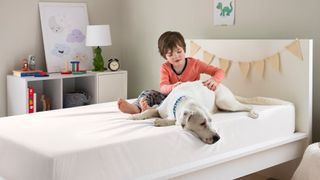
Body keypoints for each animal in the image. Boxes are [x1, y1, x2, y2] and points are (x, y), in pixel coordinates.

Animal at [130, 81, 288, 144]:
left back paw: (253, 113)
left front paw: (160, 122)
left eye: (211, 121)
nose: (218, 138)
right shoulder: (159, 109)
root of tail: (224, 86)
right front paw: (136, 116)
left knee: (247, 106)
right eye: (202, 123)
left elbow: (173, 121)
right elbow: (149, 111)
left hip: (225, 101)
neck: (183, 99)